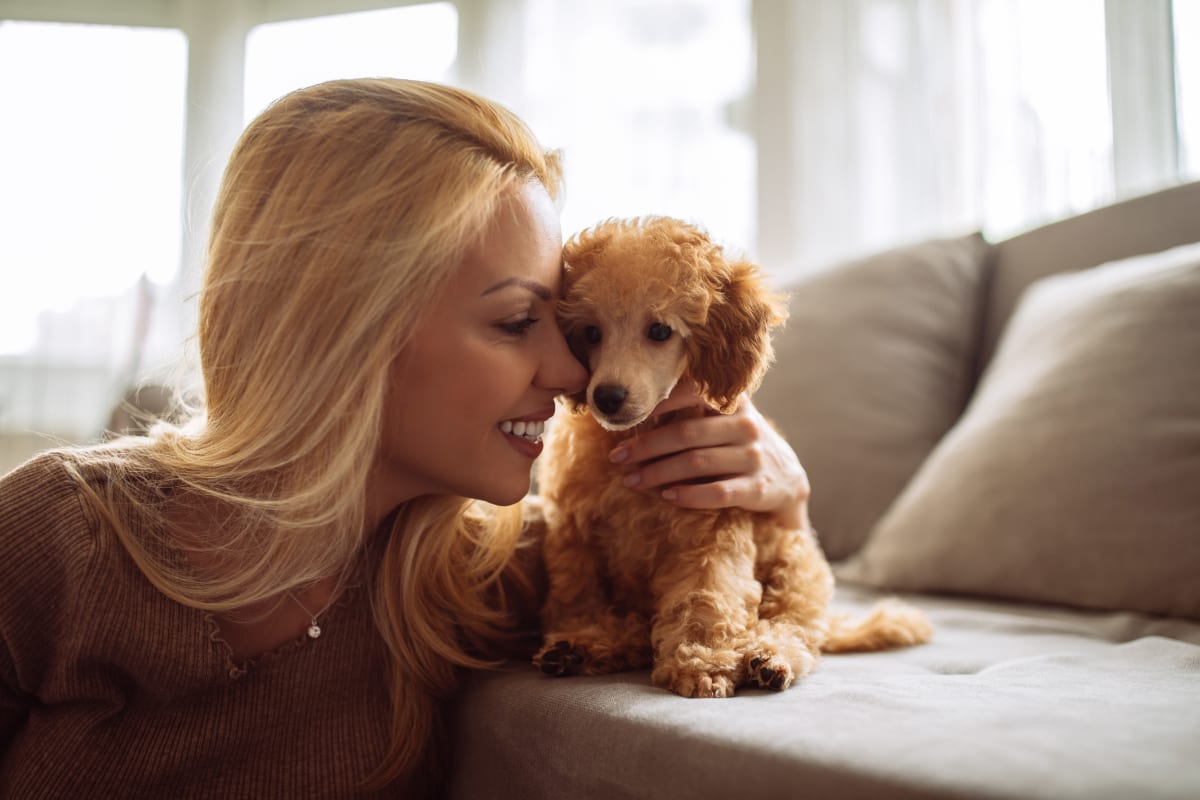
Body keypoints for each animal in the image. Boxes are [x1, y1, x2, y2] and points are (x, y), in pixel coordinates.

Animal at [530, 215, 931, 695]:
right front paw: (584, 634)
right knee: (639, 632)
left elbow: (706, 595)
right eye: (591, 333)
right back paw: (586, 649)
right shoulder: (576, 531)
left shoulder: (711, 527)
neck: (637, 434)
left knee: (796, 628)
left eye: (660, 331)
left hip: (797, 566)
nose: (606, 397)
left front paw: (700, 663)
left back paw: (770, 657)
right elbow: (580, 594)